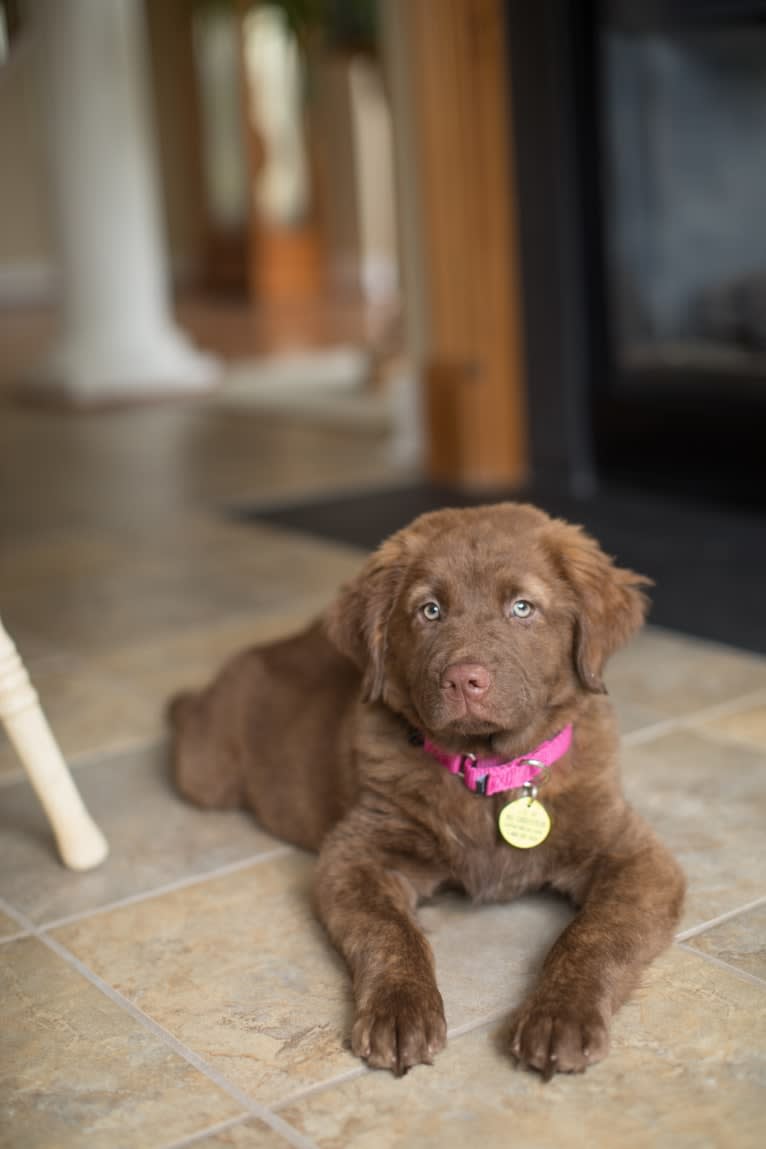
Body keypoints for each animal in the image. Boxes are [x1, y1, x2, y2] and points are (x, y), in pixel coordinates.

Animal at [171, 503, 684, 1075]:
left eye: (522, 608)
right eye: (430, 610)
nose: (463, 681)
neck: (487, 769)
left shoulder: (634, 854)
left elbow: (595, 935)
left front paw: (561, 1015)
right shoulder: (355, 853)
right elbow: (389, 932)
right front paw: (401, 1011)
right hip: (205, 775)